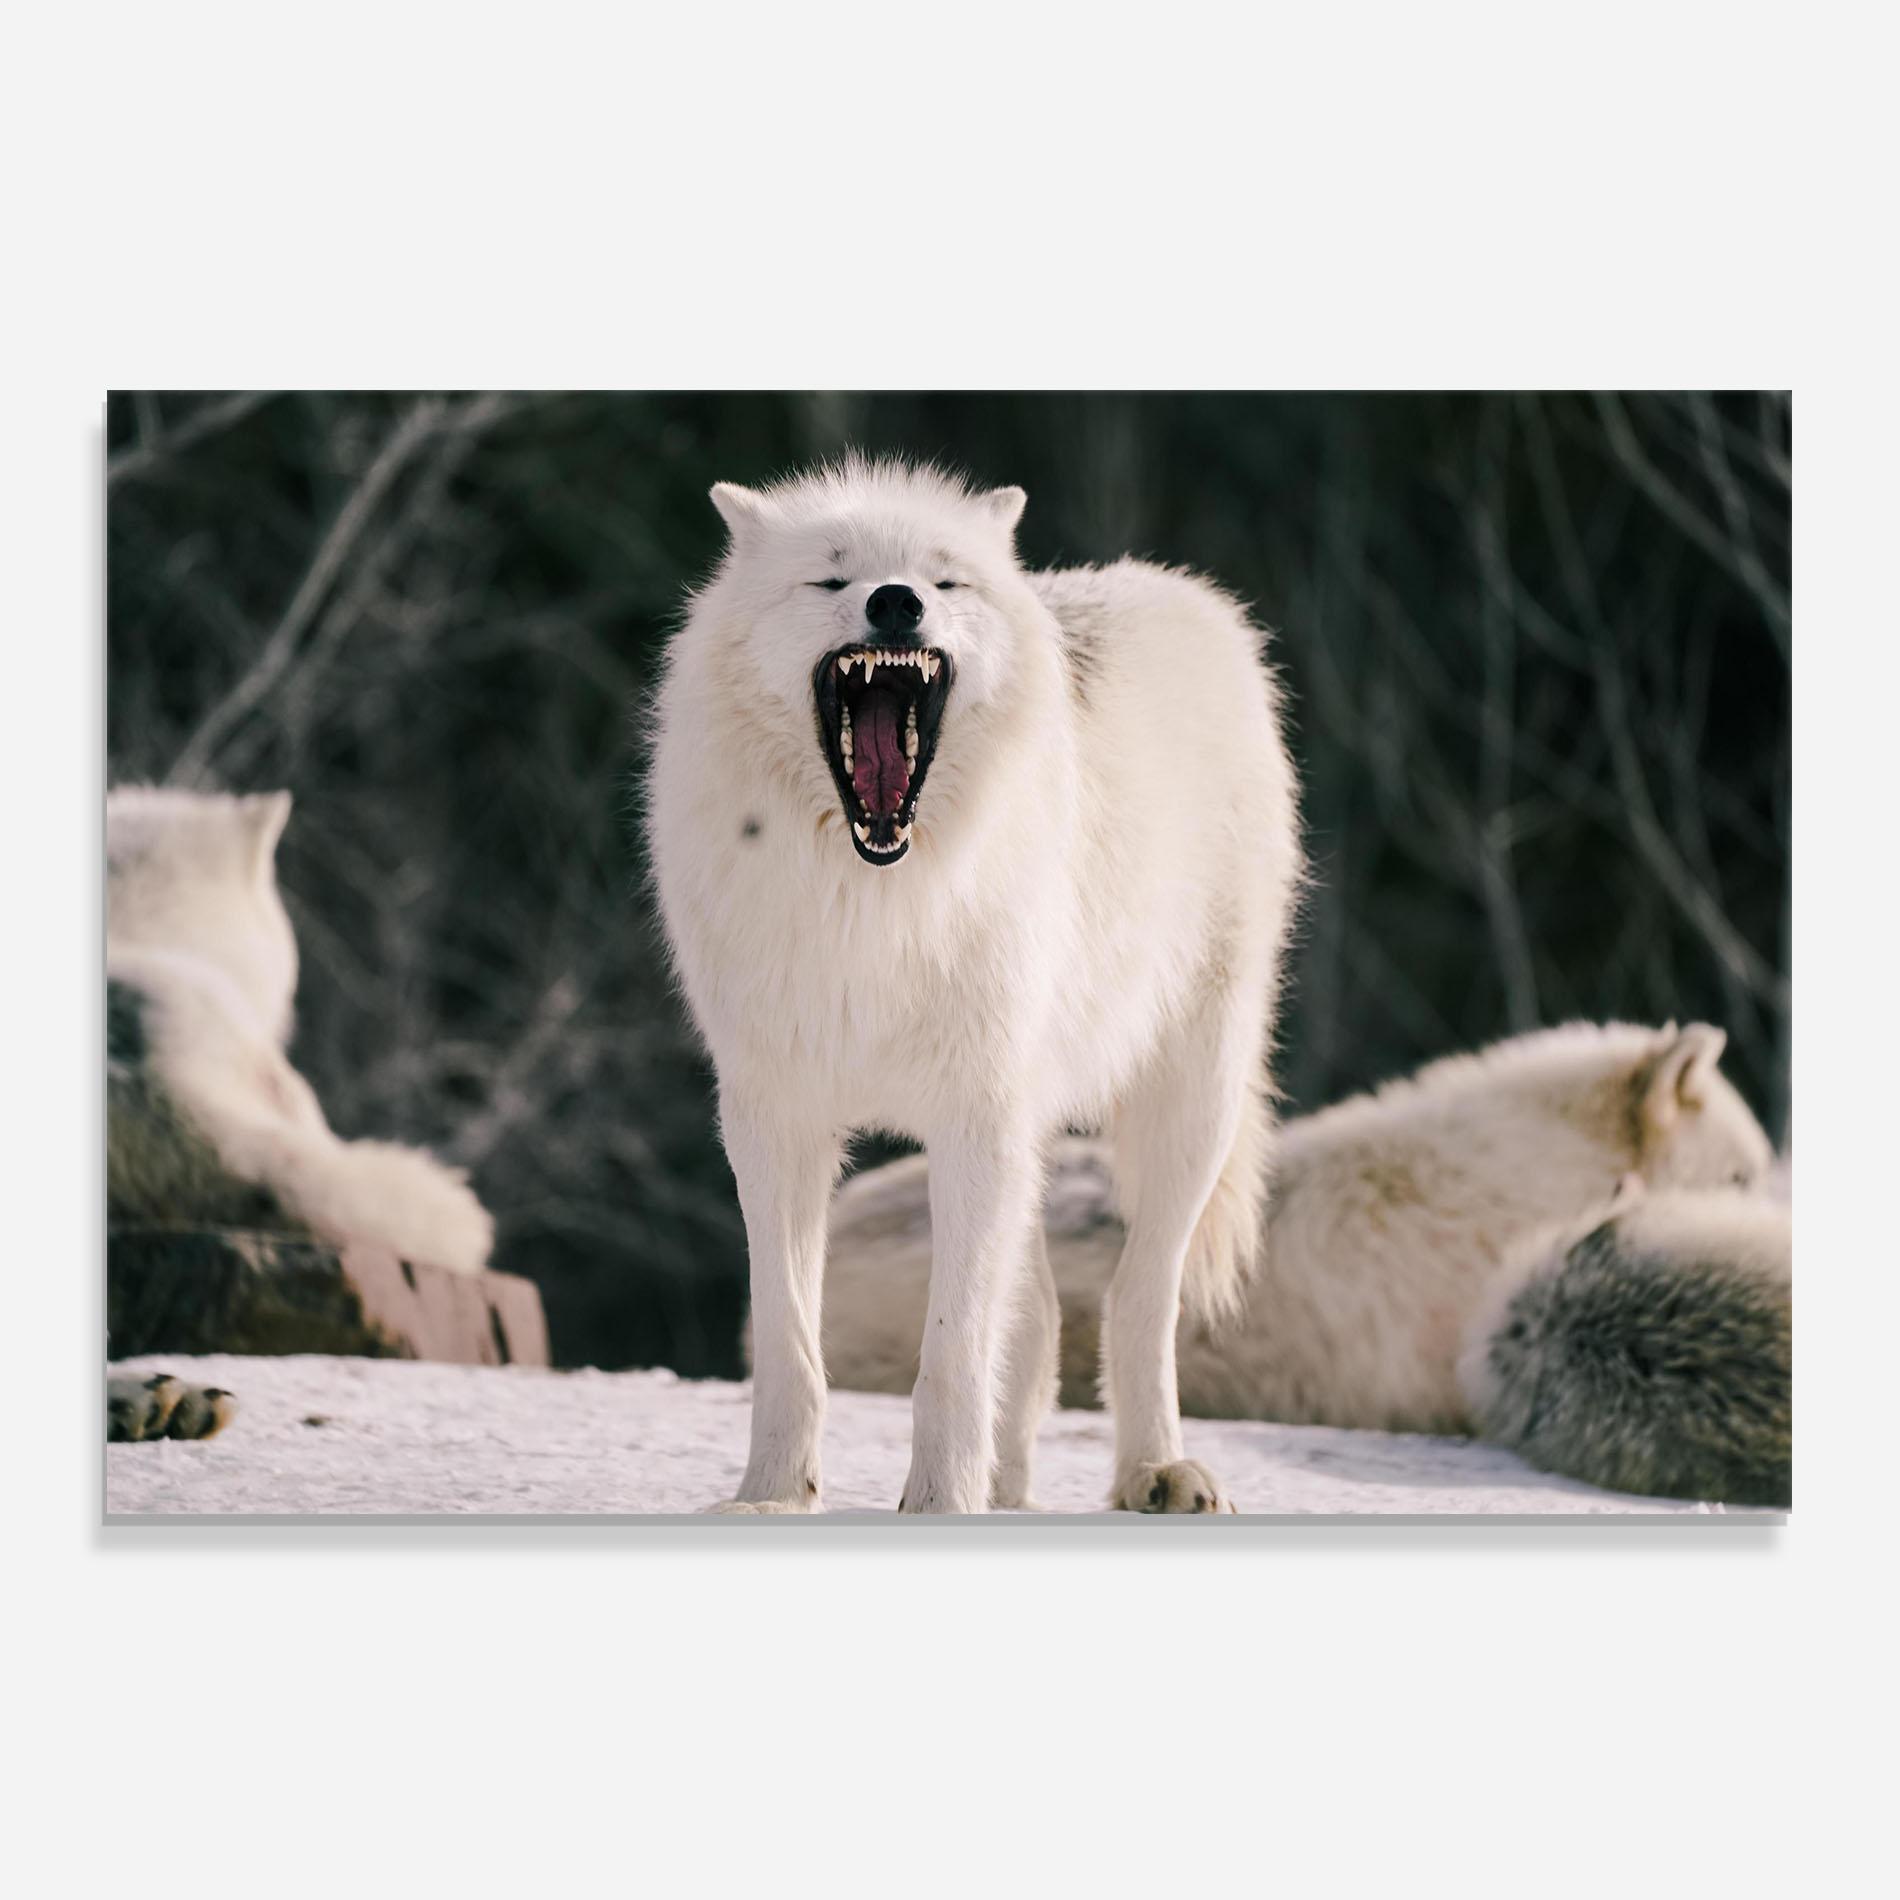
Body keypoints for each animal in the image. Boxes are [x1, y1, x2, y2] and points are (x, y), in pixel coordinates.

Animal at [647, 459, 1300, 1512]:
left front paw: (938, 1502)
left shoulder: (973, 1118)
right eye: (832, 578)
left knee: (1138, 1295)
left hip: (1187, 1102)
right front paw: (773, 1495)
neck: (874, 901)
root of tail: (1183, 593)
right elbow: (790, 1343)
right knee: (1036, 1319)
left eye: (944, 580)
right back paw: (1014, 1489)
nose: (897, 602)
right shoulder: (773, 1119)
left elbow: (951, 1355)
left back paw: (1157, 1470)